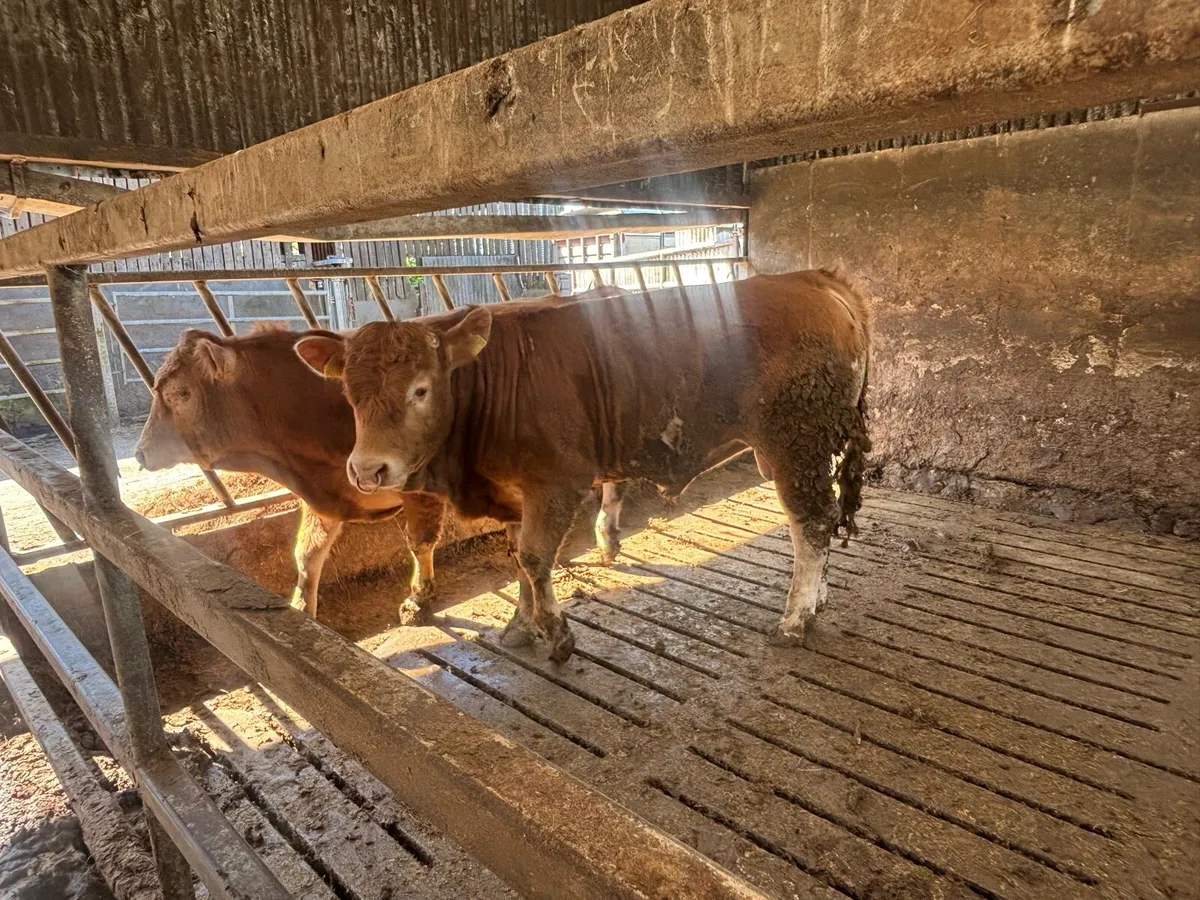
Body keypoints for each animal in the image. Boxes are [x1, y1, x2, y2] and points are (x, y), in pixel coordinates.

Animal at [133, 287, 632, 623]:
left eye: (180, 393)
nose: (139, 454)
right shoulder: (328, 492)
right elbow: (306, 554)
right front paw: (302, 609)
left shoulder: (418, 487)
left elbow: (420, 540)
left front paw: (417, 597)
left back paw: (604, 535)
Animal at [294, 269, 872, 663]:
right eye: (349, 394)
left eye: (420, 389)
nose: (367, 471)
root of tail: (813, 279)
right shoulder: (515, 491)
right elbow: (519, 558)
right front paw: (521, 625)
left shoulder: (556, 481)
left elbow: (534, 557)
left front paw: (556, 635)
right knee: (819, 523)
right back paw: (816, 603)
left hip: (795, 443)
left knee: (810, 525)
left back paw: (795, 619)